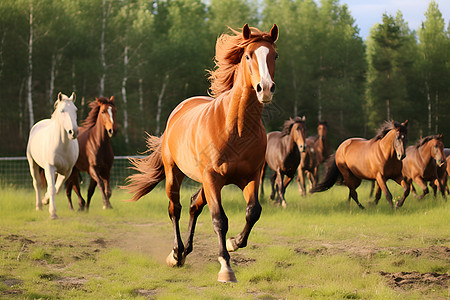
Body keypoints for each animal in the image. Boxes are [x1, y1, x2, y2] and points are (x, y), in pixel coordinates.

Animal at [124, 24, 278, 282]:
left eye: (274, 55)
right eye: (248, 56)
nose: (265, 88)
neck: (237, 129)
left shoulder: (251, 176)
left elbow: (253, 212)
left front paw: (234, 243)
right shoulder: (212, 178)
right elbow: (219, 220)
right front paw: (226, 267)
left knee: (194, 205)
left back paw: (185, 251)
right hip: (174, 173)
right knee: (175, 208)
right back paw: (176, 253)